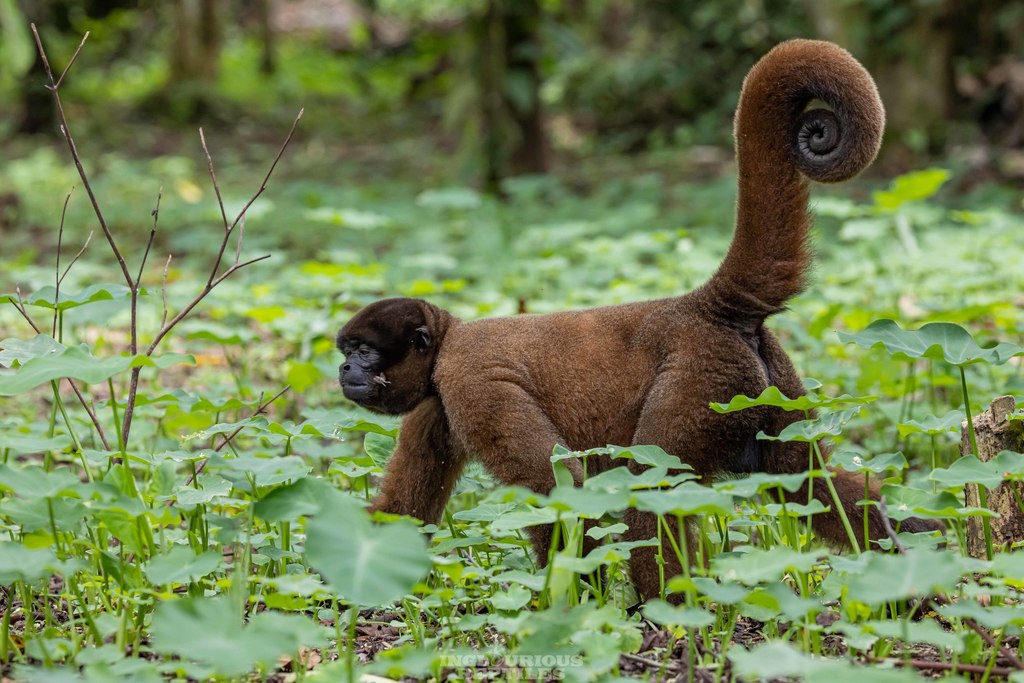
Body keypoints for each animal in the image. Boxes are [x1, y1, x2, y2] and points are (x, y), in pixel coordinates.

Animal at [335, 40, 942, 602]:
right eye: (346, 352)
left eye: (363, 351)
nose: (344, 371)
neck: (447, 340)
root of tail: (701, 305)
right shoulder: (435, 402)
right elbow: (401, 510)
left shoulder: (467, 380)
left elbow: (560, 486)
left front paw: (574, 603)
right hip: (770, 392)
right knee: (811, 484)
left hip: (702, 382)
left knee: (652, 494)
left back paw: (667, 617)